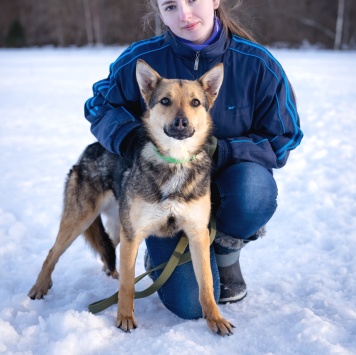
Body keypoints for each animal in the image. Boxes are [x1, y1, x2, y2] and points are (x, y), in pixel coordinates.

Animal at [28, 59, 234, 336]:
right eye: (165, 101)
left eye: (195, 102)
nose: (181, 122)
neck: (175, 162)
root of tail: (88, 150)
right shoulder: (134, 235)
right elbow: (128, 284)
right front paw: (124, 318)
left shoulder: (197, 235)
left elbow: (207, 285)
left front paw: (215, 319)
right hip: (81, 221)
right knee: (53, 253)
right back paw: (40, 287)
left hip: (118, 226)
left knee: (108, 246)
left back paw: (108, 272)